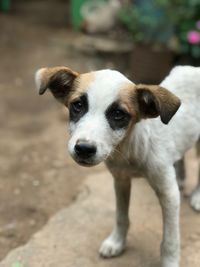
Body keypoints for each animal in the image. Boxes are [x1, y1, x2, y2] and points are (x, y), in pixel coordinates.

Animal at [35, 65, 200, 267]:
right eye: (78, 105)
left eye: (118, 114)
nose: (84, 149)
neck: (130, 149)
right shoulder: (121, 180)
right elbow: (121, 217)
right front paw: (117, 242)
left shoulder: (168, 194)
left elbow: (170, 239)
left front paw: (170, 262)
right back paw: (181, 178)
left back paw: (197, 196)